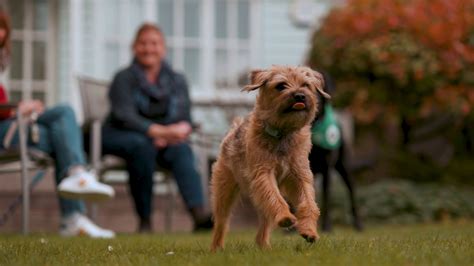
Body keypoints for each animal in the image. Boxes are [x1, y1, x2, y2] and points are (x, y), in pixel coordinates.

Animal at [211, 65, 330, 250]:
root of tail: (234, 129)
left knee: (264, 223)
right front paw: (285, 217)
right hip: (224, 190)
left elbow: (309, 203)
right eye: (281, 86)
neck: (282, 133)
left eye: (306, 85)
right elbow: (275, 198)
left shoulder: (301, 175)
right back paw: (216, 248)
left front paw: (309, 231)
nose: (300, 95)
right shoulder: (263, 174)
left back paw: (264, 247)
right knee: (222, 222)